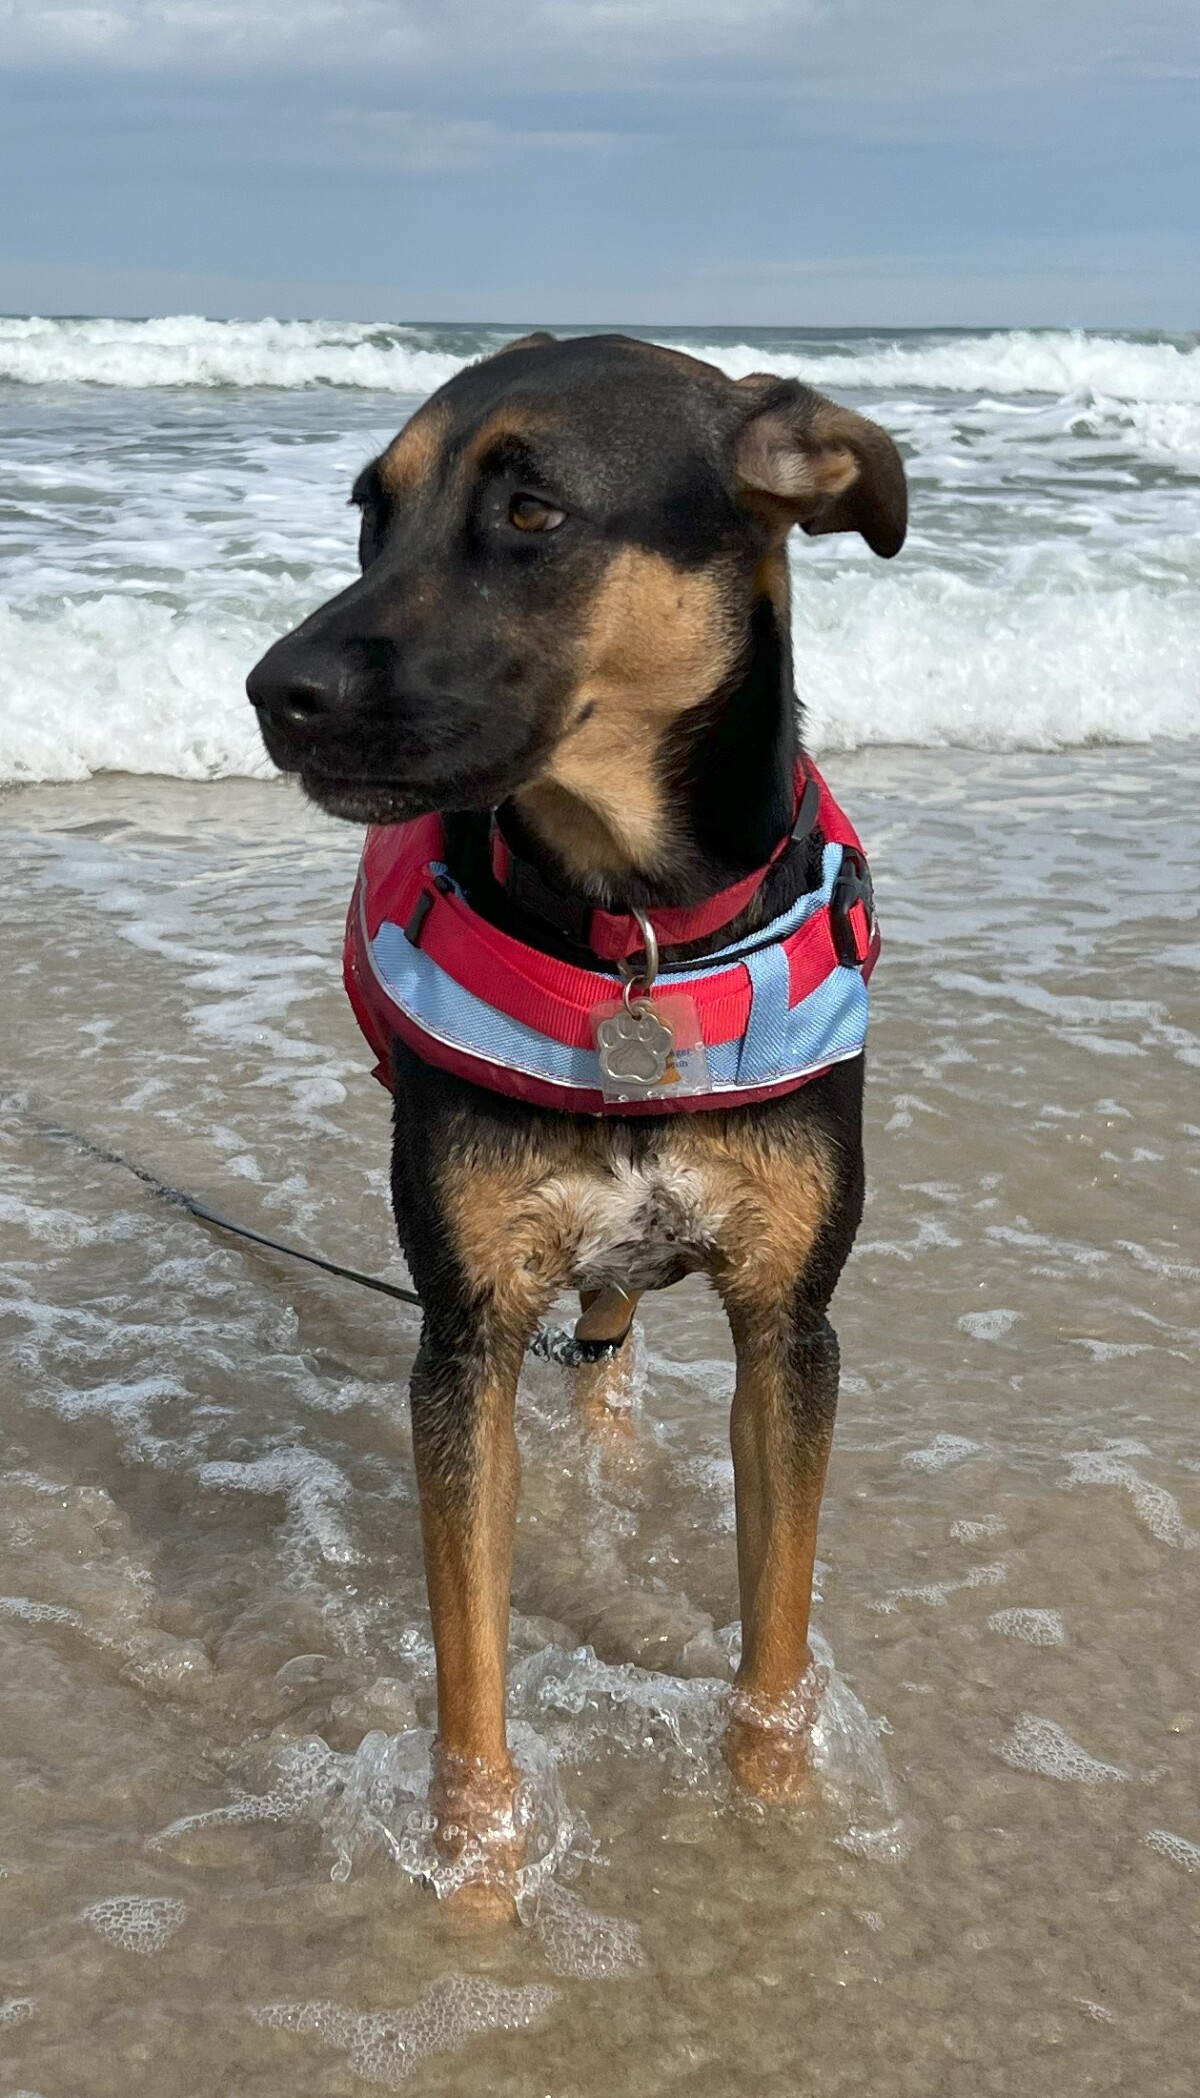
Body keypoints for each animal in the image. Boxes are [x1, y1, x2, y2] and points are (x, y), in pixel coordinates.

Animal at [246, 331, 897, 1921]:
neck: (632, 927)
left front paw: (771, 1814)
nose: (273, 691)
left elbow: (775, 1636)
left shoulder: (793, 1324)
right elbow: (470, 1670)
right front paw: (479, 1881)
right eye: (372, 516)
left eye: (531, 509)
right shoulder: (465, 1331)